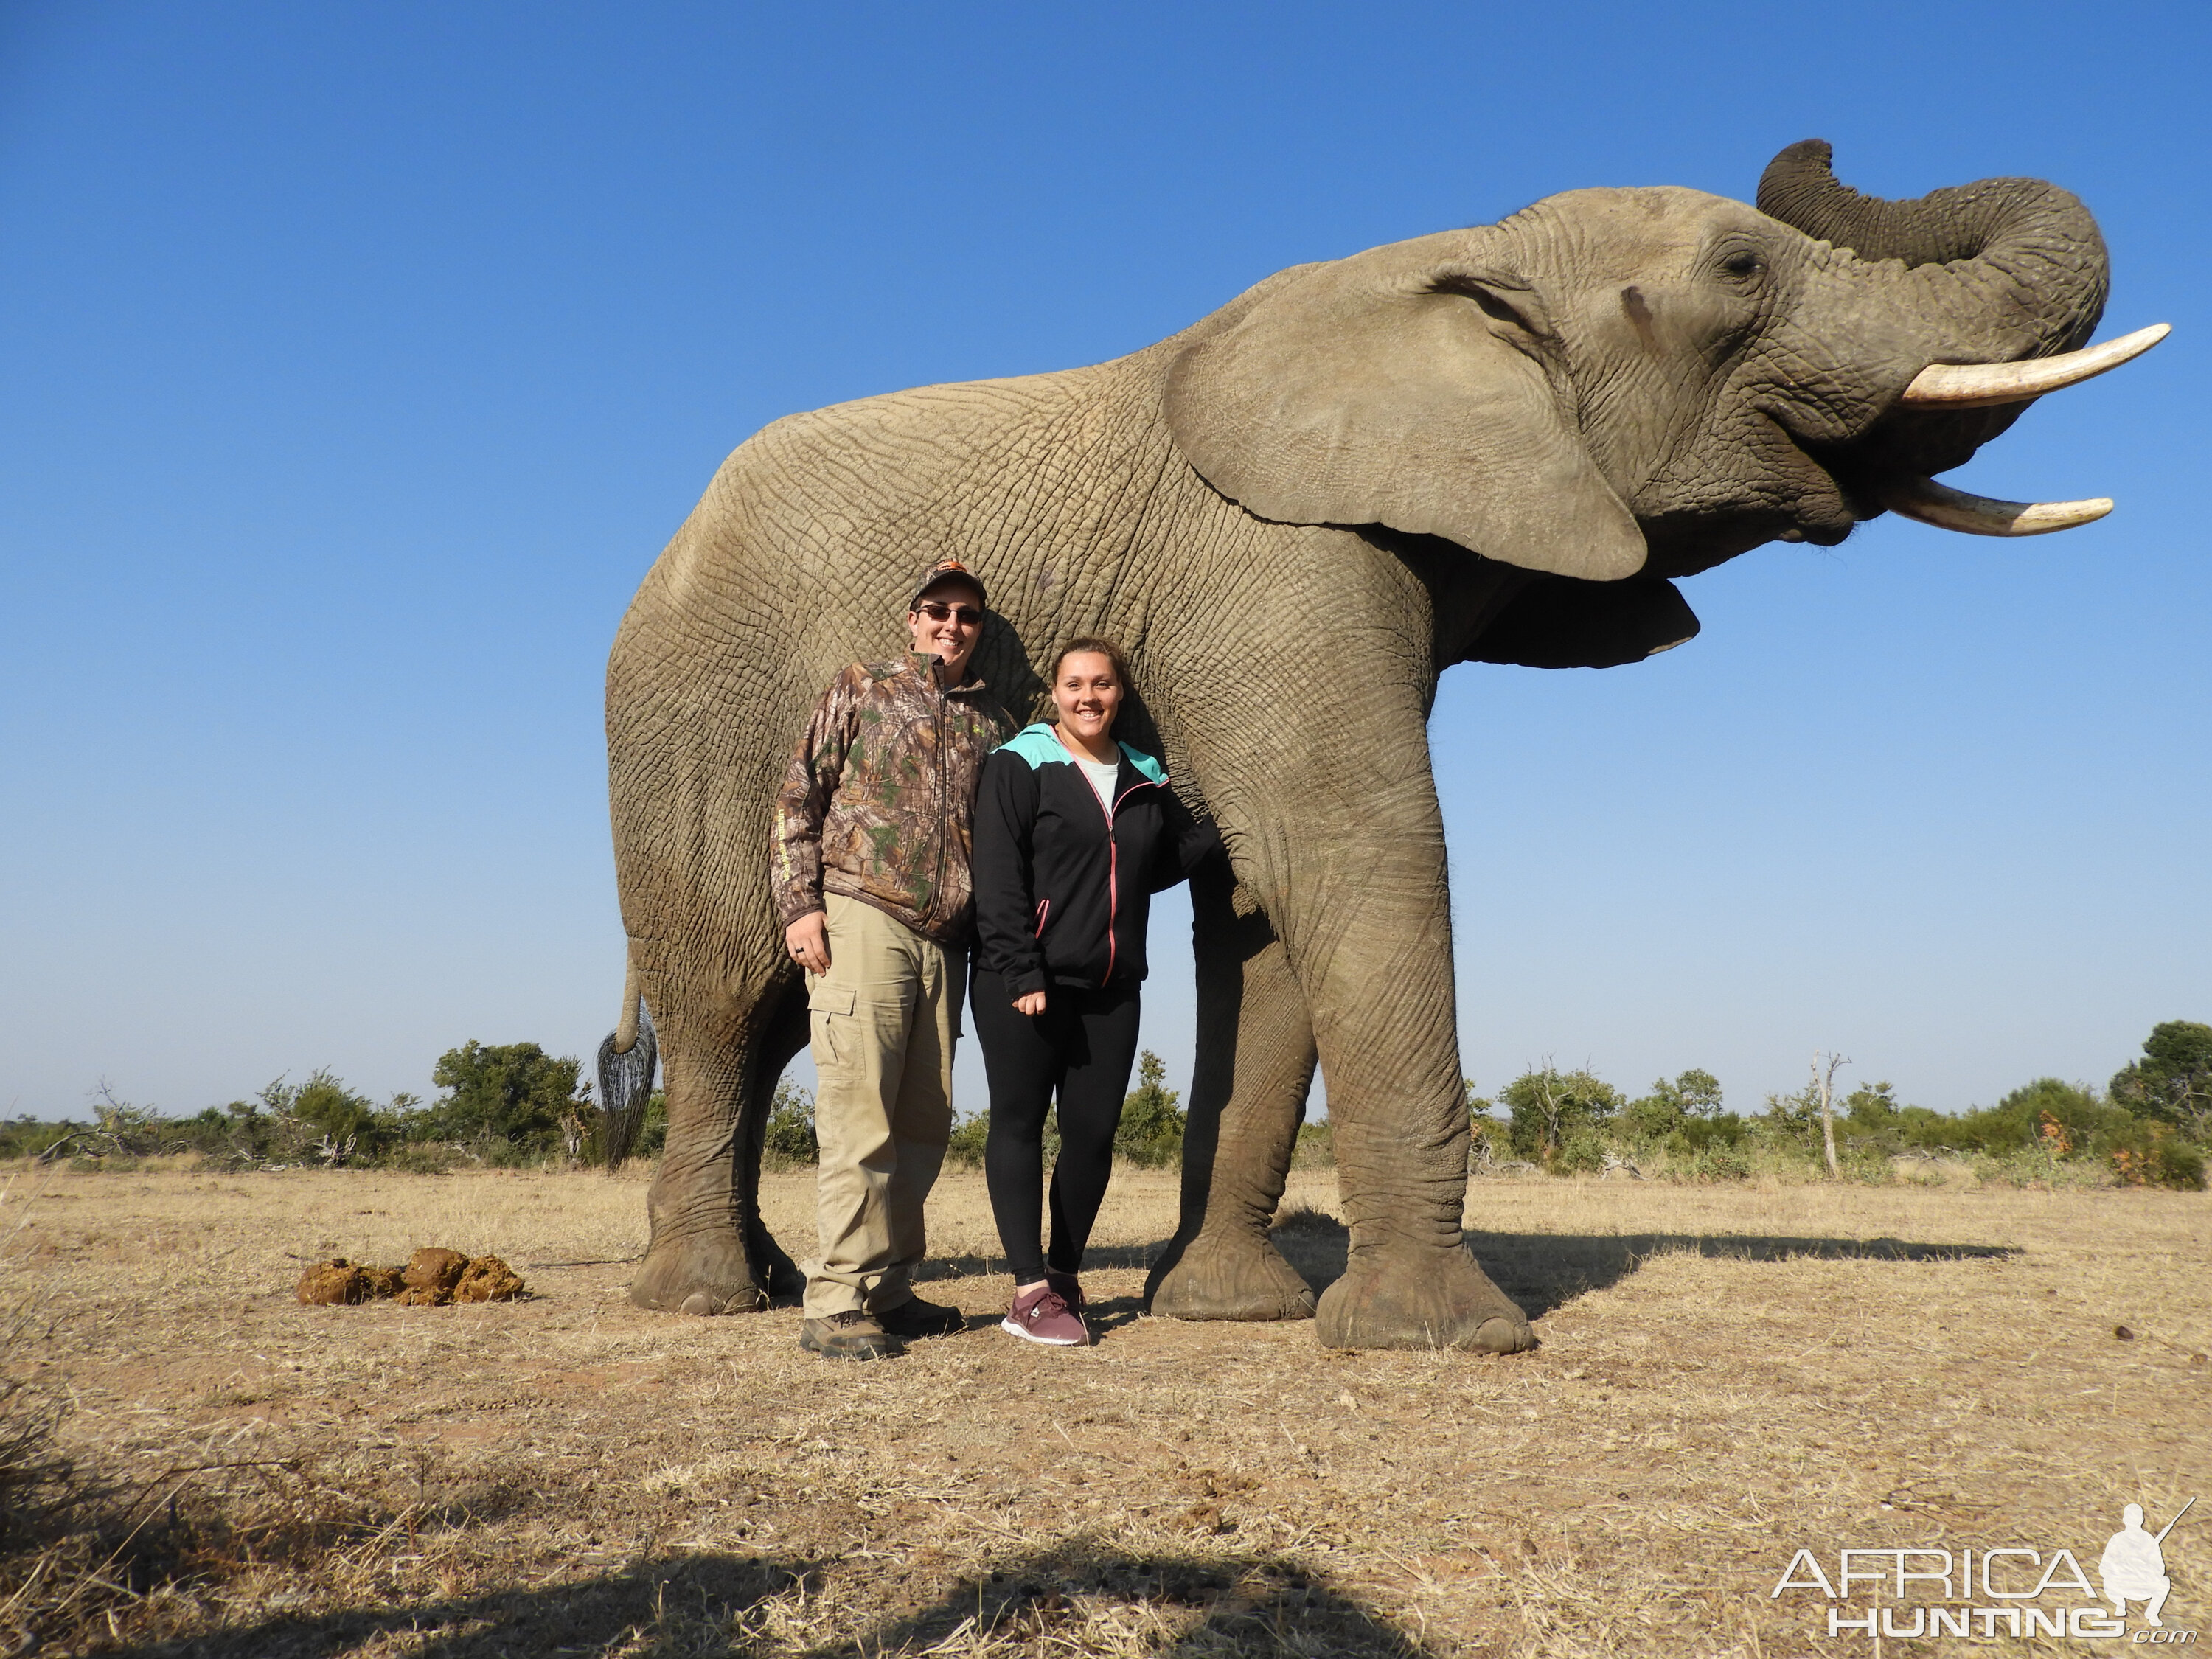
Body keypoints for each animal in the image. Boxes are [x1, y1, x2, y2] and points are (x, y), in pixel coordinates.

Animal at [602, 146, 2159, 1354]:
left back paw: (794, 1287)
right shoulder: (1274, 559)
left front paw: (1234, 1314)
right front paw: (1447, 1341)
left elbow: (1264, 912)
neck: (1467, 254)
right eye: (1738, 270)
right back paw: (716, 1302)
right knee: (731, 989)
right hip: (690, 721)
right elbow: (1365, 853)